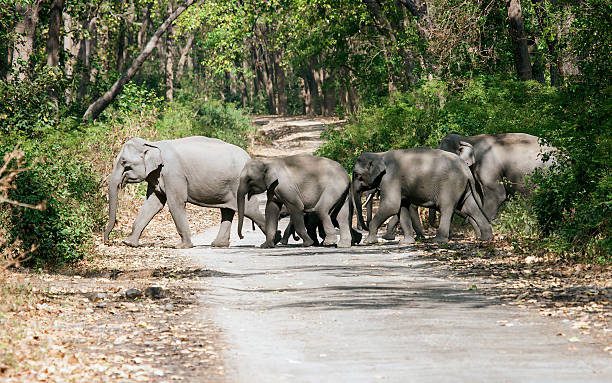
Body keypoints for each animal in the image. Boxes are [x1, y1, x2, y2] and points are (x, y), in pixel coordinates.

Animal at [103, 136, 266, 249]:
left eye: (124, 163)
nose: (107, 241)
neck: (153, 144)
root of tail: (248, 157)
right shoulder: (157, 175)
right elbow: (153, 204)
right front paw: (129, 243)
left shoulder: (173, 174)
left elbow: (176, 203)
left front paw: (182, 246)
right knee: (227, 210)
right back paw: (218, 245)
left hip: (239, 184)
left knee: (250, 210)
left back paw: (269, 243)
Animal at [354, 149, 492, 243]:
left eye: (357, 175)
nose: (361, 231)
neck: (379, 154)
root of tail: (466, 169)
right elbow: (401, 207)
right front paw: (406, 242)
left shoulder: (391, 178)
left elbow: (391, 205)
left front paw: (369, 241)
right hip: (463, 186)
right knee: (469, 208)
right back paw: (486, 238)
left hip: (451, 184)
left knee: (447, 208)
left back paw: (439, 240)